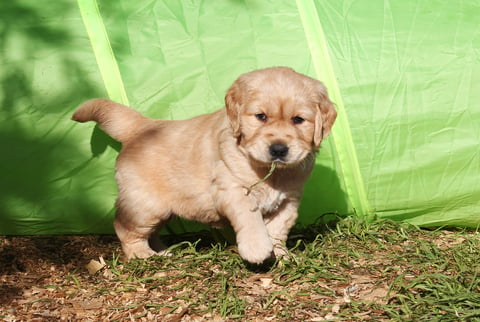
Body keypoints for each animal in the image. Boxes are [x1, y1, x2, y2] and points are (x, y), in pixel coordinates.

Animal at [72, 66, 338, 264]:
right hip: (144, 205)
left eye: (298, 120)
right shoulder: (231, 190)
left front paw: (282, 256)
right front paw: (257, 249)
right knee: (124, 227)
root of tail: (143, 127)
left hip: (162, 209)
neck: (270, 172)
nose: (279, 149)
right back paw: (142, 255)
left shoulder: (288, 201)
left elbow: (278, 231)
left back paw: (163, 251)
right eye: (261, 117)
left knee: (151, 231)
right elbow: (251, 219)